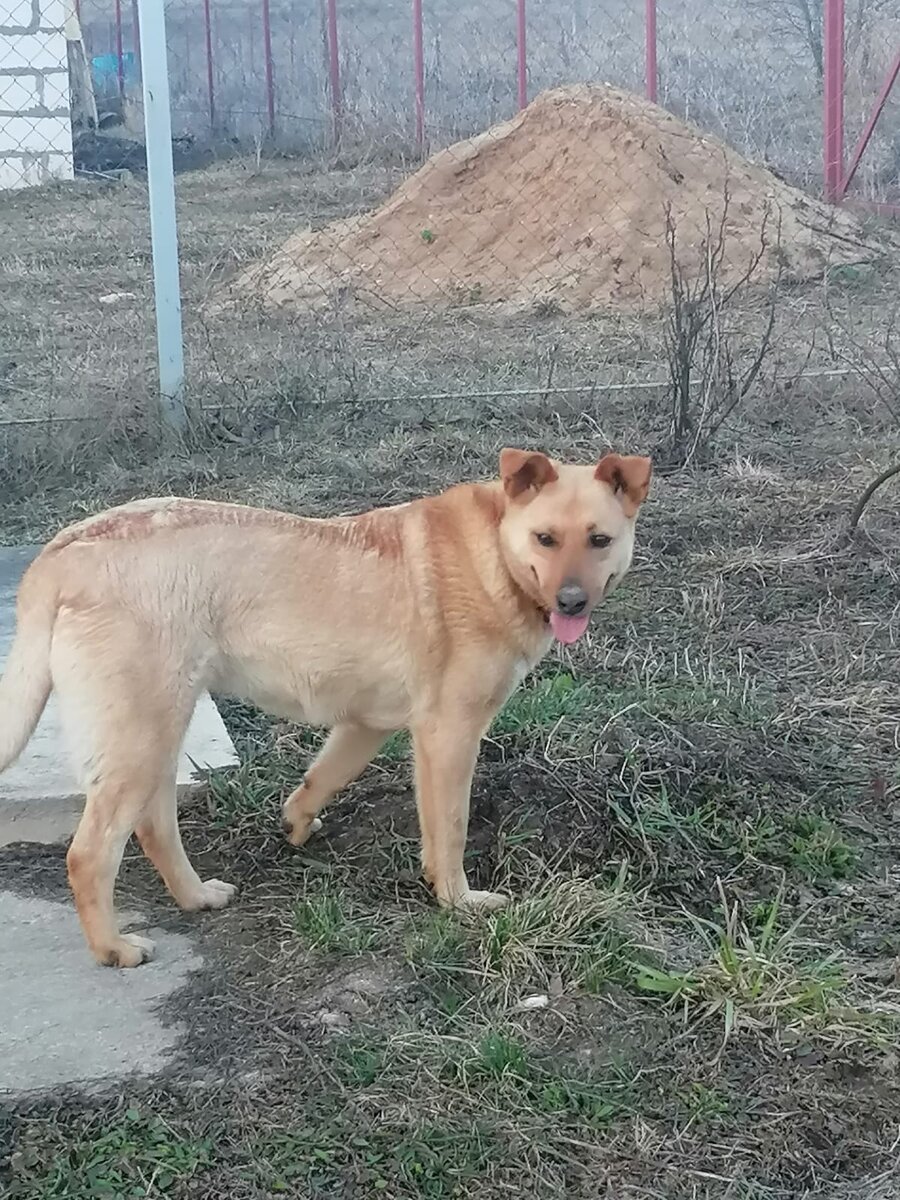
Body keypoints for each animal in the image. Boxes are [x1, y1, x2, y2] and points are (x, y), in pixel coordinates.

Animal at [0, 448, 648, 964]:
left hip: (159, 731)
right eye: (546, 539)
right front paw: (458, 901)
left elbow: (322, 778)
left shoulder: (366, 725)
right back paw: (113, 948)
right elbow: (450, 832)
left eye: (599, 540)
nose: (571, 601)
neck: (495, 552)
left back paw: (195, 897)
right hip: (140, 737)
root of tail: (62, 549)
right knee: (90, 854)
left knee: (155, 826)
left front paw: (296, 822)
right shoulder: (448, 736)